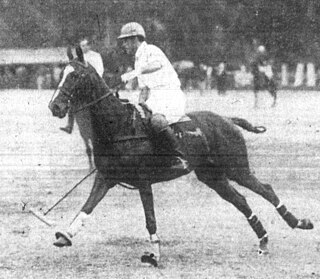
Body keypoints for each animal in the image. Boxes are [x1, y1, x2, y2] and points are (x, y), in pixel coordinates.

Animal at [48, 47, 312, 268]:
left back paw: (299, 223)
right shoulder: (105, 177)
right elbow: (86, 207)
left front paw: (154, 256)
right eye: (62, 74)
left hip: (237, 168)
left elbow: (150, 220)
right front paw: (65, 236)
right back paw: (263, 240)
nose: (55, 107)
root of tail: (228, 119)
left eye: (75, 76)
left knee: (265, 189)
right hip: (212, 176)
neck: (119, 126)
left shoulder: (143, 180)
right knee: (241, 200)